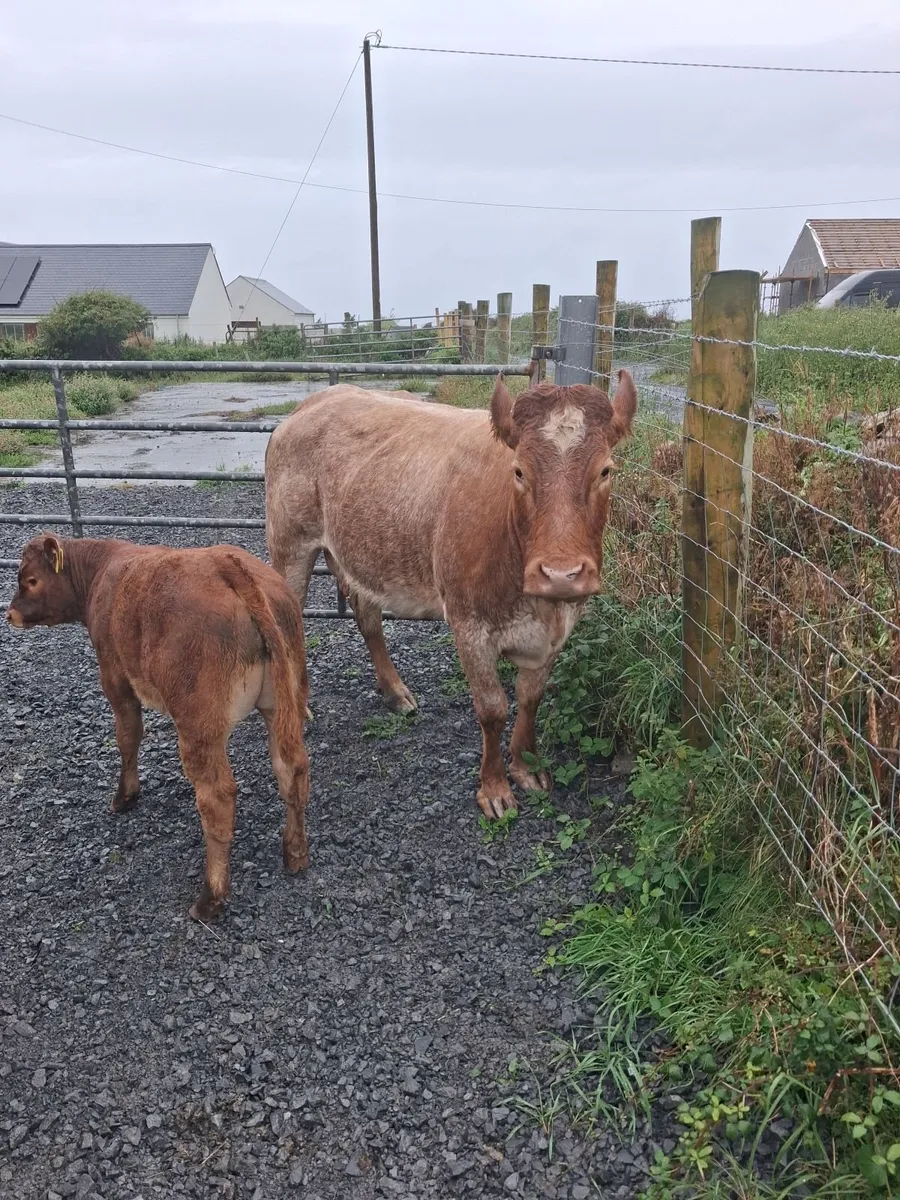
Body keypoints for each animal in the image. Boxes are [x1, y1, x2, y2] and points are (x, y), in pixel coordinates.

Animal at [6, 535, 311, 921]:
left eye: (30, 580)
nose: (10, 613)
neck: (102, 568)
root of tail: (228, 565)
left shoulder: (115, 674)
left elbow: (128, 735)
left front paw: (125, 796)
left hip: (199, 723)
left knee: (217, 797)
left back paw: (210, 898)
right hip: (284, 701)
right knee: (292, 769)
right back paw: (295, 853)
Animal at [265, 369, 637, 819]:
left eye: (605, 471)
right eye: (519, 472)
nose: (560, 574)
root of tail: (318, 400)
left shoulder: (558, 630)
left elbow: (530, 699)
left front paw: (526, 767)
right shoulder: (469, 624)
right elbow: (492, 709)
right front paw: (494, 788)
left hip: (357, 552)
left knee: (367, 617)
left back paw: (395, 692)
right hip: (290, 546)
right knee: (287, 623)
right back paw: (297, 704)